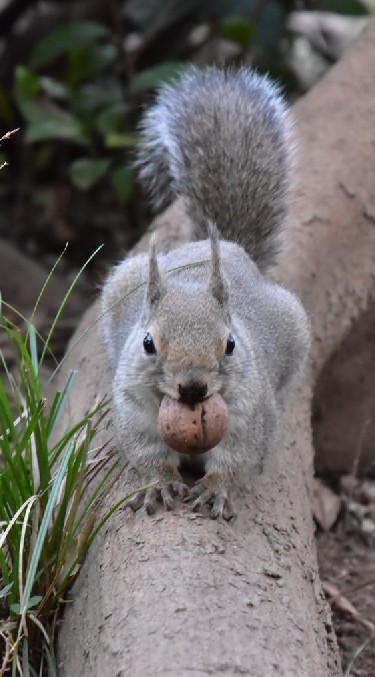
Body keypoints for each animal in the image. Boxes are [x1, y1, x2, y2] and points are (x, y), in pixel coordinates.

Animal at [100, 66, 312, 516]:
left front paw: (216, 488)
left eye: (230, 344)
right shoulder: (132, 408)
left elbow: (237, 457)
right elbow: (145, 451)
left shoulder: (251, 413)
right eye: (148, 343)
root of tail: (226, 246)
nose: (194, 387)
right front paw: (160, 484)